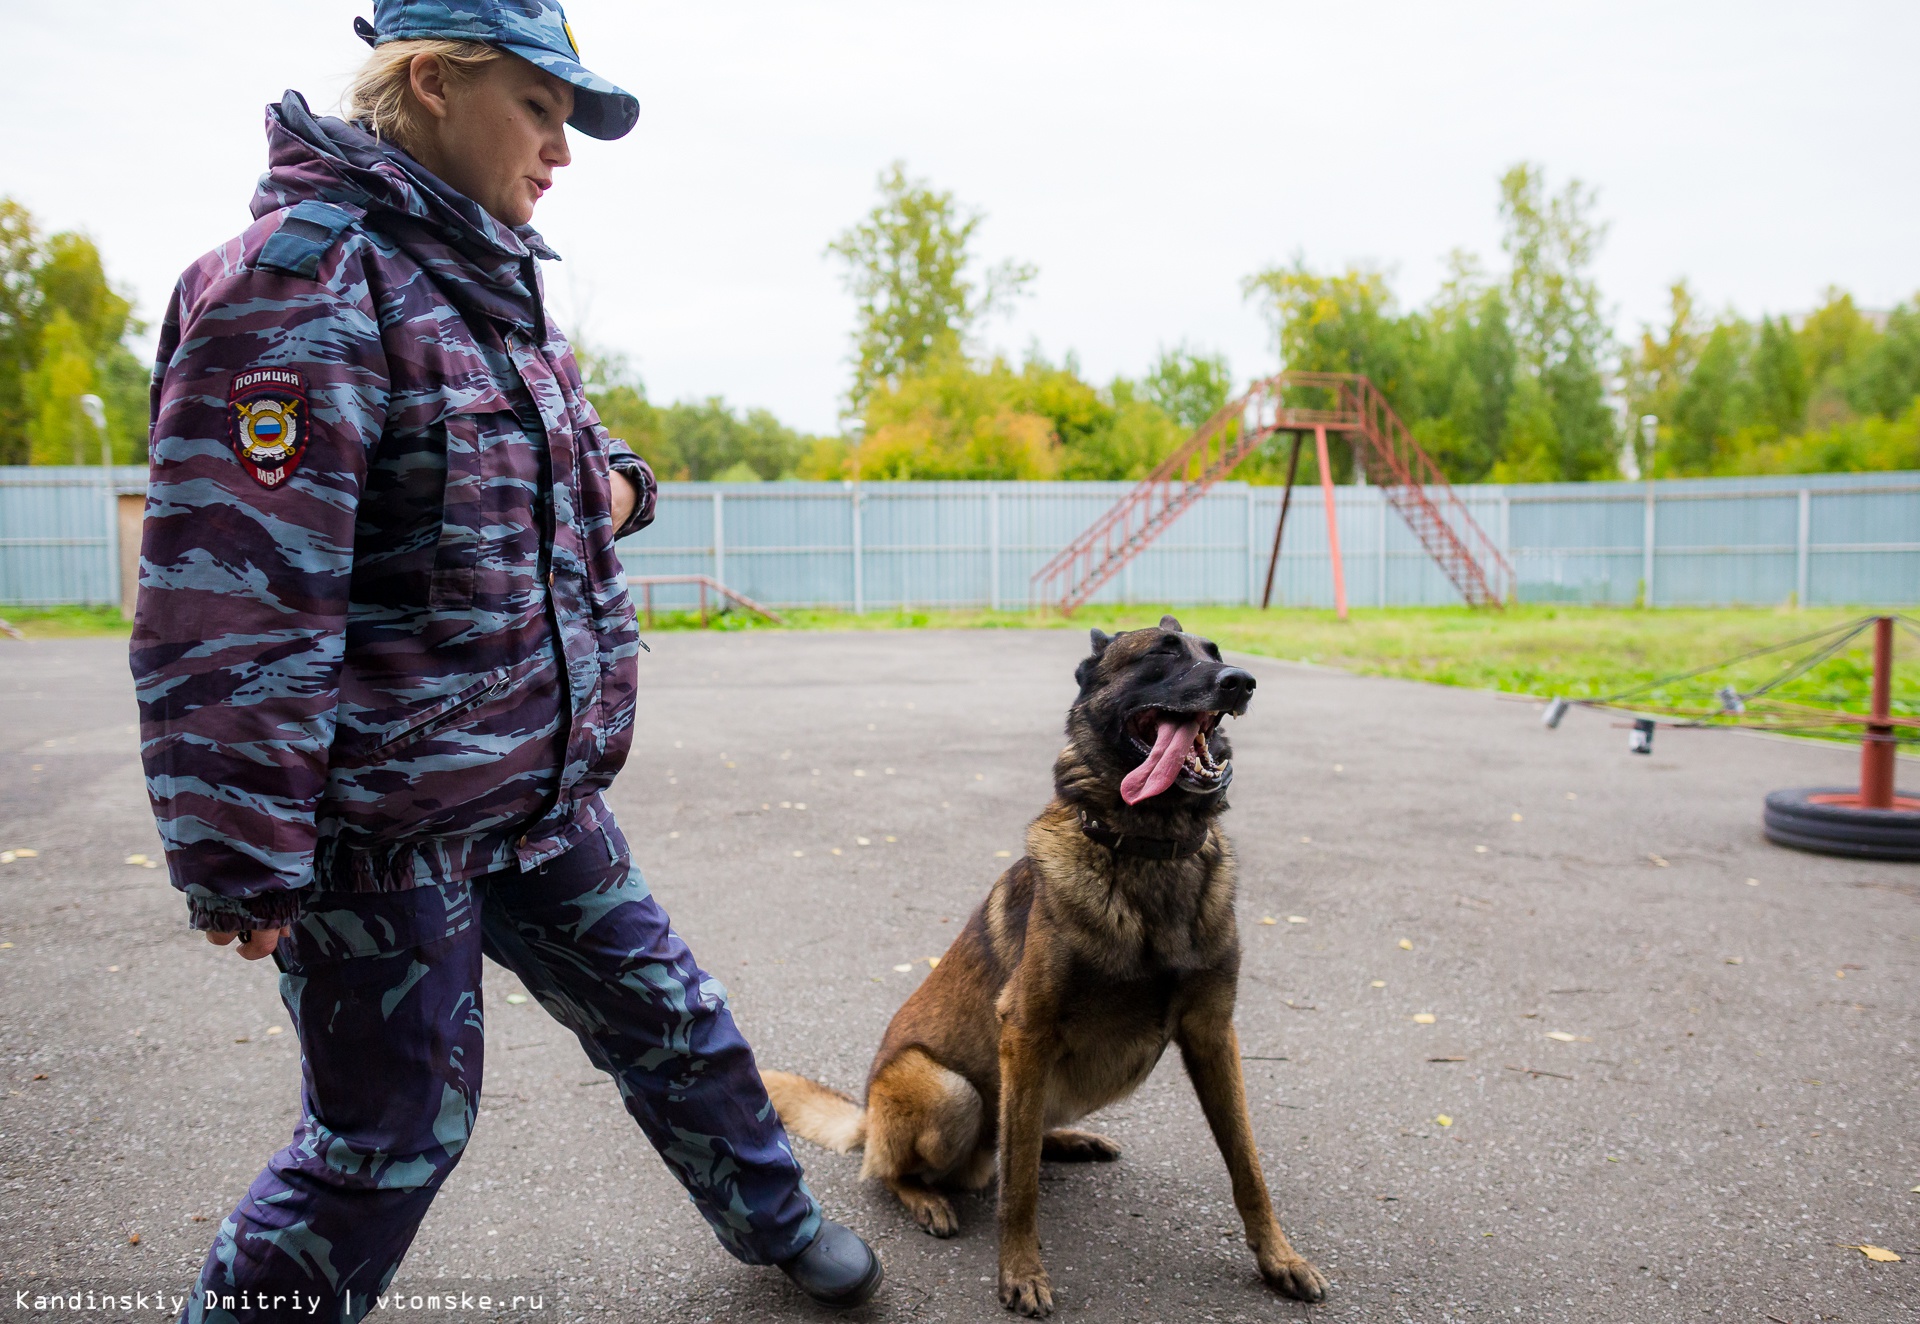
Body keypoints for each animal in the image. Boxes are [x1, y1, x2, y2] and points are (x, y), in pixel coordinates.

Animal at [756, 617, 1328, 1312]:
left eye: (1213, 653)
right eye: (1163, 654)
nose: (1241, 681)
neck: (1150, 851)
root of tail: (867, 1115)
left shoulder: (1213, 1034)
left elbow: (1248, 1165)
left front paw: (1279, 1259)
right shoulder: (1026, 1032)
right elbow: (1020, 1187)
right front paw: (1021, 1271)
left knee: (1017, 1137)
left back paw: (1067, 1140)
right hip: (951, 1091)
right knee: (914, 1166)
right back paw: (927, 1198)